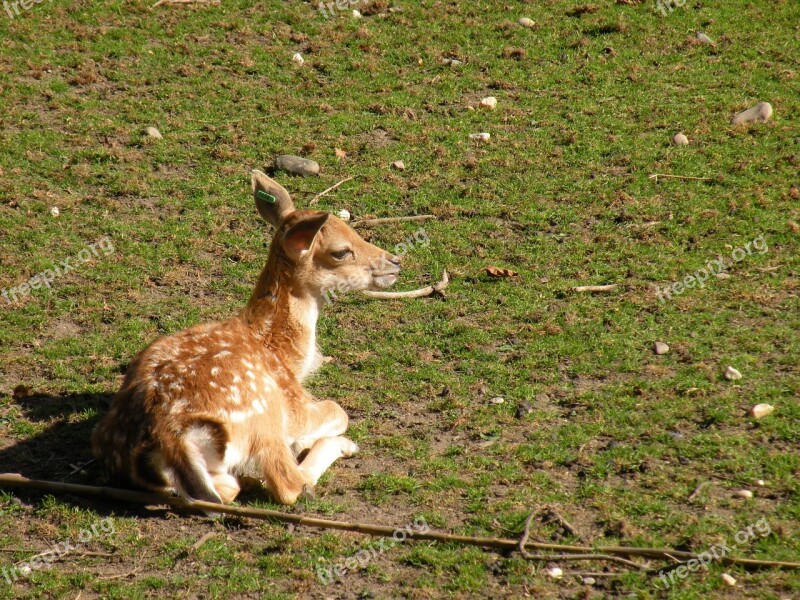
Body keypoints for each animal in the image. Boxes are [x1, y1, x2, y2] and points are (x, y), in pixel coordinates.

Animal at [91, 170, 404, 506]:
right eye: (341, 251)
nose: (394, 261)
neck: (283, 354)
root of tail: (169, 438)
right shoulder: (293, 403)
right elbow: (338, 410)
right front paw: (310, 439)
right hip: (263, 413)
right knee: (289, 485)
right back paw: (337, 448)